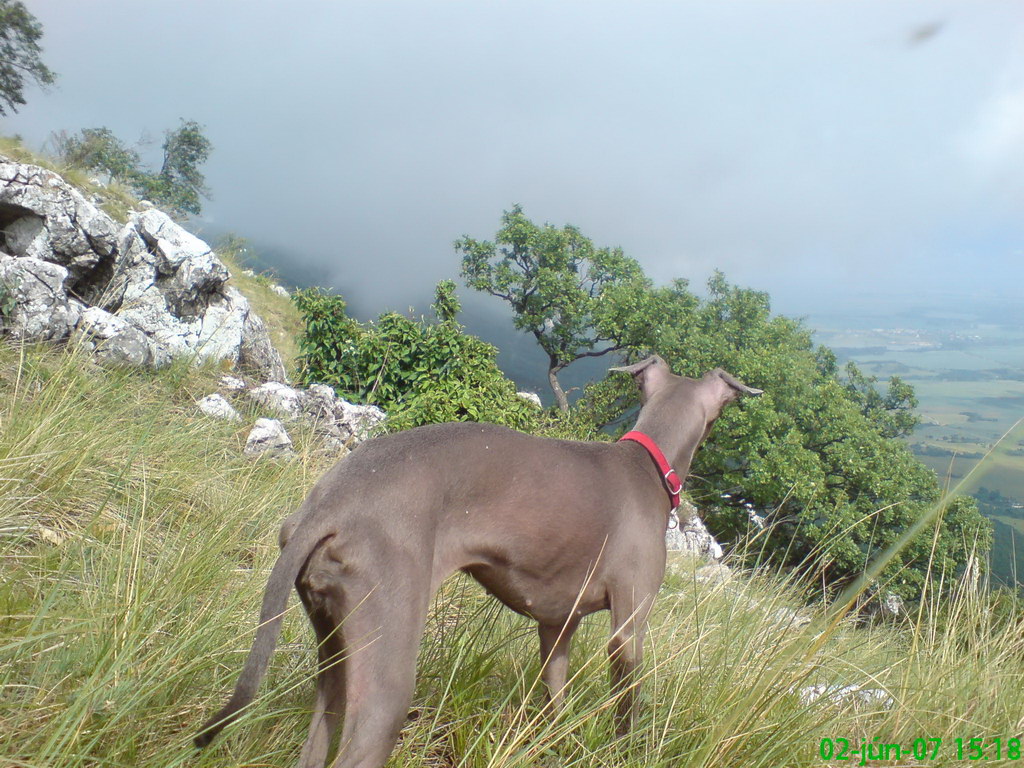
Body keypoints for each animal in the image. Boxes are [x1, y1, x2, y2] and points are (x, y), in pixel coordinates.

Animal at [197, 356, 761, 768]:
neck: (646, 461)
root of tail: (326, 505)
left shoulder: (557, 627)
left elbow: (554, 701)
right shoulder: (628, 628)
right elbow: (626, 708)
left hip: (335, 648)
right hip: (387, 667)